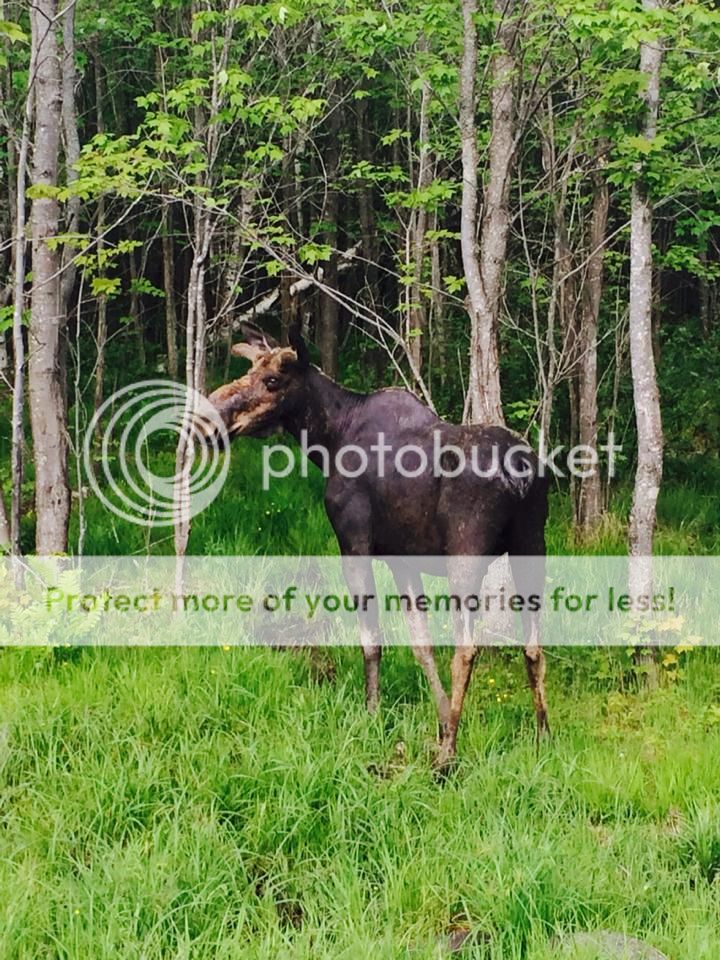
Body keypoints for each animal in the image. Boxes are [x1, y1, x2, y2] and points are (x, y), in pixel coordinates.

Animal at [202, 322, 549, 770]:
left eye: (273, 380)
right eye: (251, 370)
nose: (210, 416)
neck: (328, 439)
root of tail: (522, 475)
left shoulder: (353, 541)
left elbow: (372, 641)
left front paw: (373, 715)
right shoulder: (403, 559)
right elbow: (420, 645)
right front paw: (439, 724)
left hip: (466, 552)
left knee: (467, 649)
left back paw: (448, 757)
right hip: (532, 546)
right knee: (534, 647)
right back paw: (543, 739)